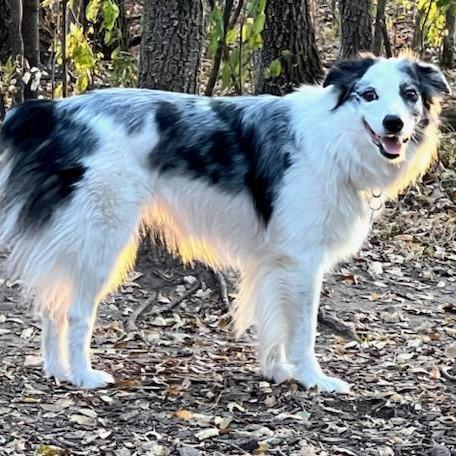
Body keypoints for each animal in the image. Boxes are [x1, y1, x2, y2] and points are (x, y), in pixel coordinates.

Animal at [0, 56, 448, 392]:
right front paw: (312, 378)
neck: (334, 138)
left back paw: (57, 370)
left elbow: (272, 319)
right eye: (368, 95)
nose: (394, 123)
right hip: (103, 237)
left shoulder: (274, 260)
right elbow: (302, 328)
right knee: (76, 310)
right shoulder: (302, 261)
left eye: (409, 95)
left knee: (52, 304)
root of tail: (56, 110)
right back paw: (81, 375)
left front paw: (277, 371)